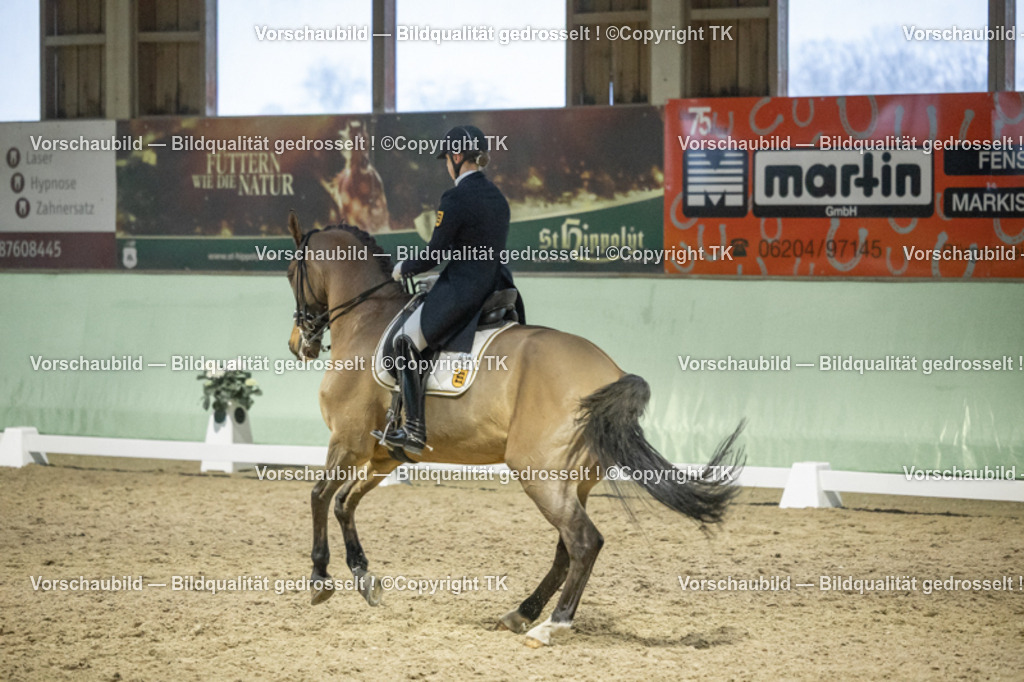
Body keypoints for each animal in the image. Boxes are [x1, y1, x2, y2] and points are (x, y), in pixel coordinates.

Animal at [284, 213, 745, 647]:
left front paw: (320, 577)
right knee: (565, 548)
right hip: (572, 481)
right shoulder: (382, 455)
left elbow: (319, 495)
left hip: (540, 474)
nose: (298, 344)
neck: (368, 321)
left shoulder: (347, 441)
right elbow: (345, 502)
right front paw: (363, 577)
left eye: (291, 273)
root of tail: (610, 372)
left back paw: (551, 625)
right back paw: (522, 613)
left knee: (583, 542)